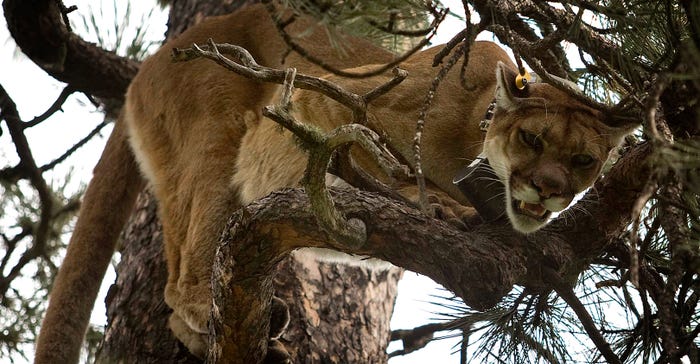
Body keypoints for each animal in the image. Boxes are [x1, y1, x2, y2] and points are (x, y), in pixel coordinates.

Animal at [32, 3, 636, 364]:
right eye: (533, 139)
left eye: (584, 159)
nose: (550, 188)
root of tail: (153, 59)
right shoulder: (323, 100)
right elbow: (372, 157)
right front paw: (441, 204)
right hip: (213, 144)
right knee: (180, 279)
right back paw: (211, 311)